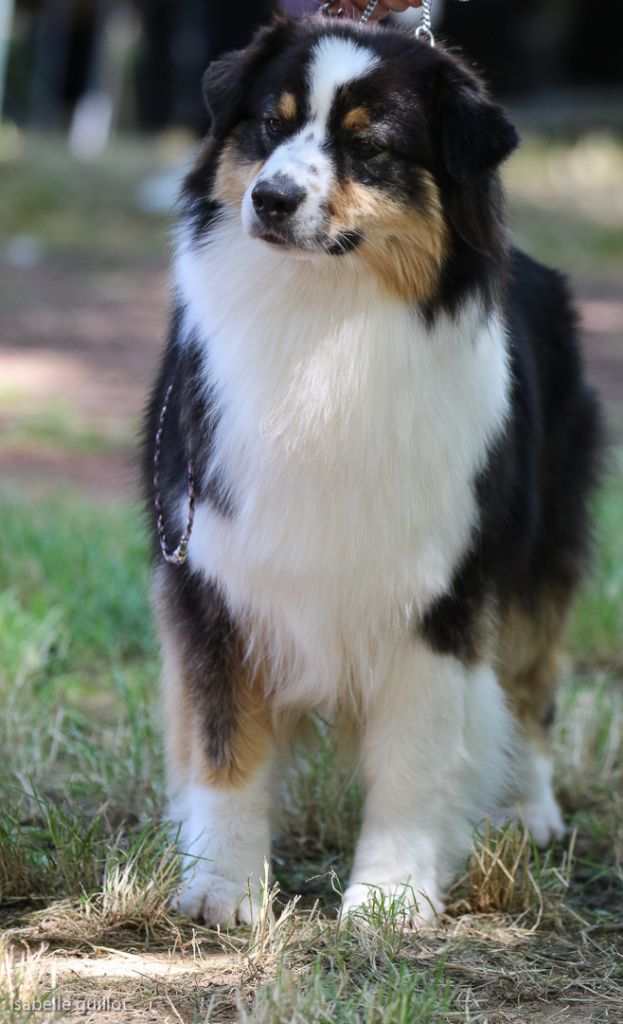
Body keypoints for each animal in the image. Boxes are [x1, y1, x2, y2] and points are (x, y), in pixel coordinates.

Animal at [143, 15, 602, 926]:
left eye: (370, 147)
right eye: (270, 123)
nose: (271, 199)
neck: (321, 319)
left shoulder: (438, 597)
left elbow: (414, 758)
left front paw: (389, 897)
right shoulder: (211, 574)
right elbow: (222, 743)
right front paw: (224, 887)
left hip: (535, 561)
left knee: (529, 686)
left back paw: (526, 809)